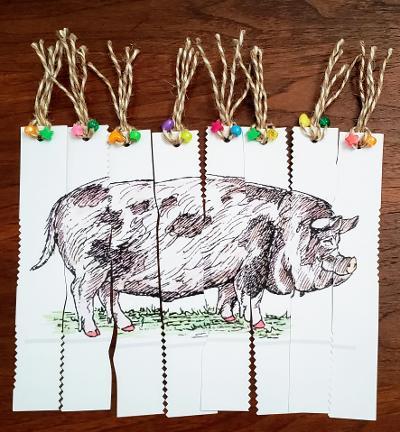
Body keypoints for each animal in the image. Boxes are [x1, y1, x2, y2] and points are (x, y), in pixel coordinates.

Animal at [32, 175, 358, 337]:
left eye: (338, 241)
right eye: (325, 242)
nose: (352, 262)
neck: (285, 230)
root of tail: (60, 203)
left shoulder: (231, 270)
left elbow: (228, 294)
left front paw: (227, 318)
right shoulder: (252, 265)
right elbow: (252, 297)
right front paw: (259, 326)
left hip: (111, 271)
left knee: (107, 295)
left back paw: (126, 326)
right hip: (91, 264)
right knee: (80, 292)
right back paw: (93, 332)